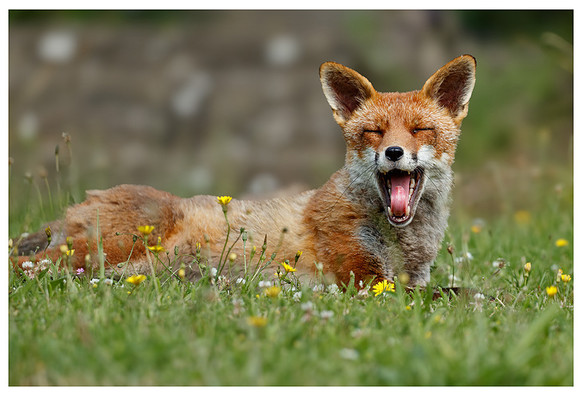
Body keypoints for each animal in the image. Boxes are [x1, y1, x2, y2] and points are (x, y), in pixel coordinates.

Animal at [13, 54, 476, 290]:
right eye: (374, 132)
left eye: (419, 129)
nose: (394, 152)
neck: (405, 242)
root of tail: (78, 204)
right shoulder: (365, 282)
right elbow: (450, 296)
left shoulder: (409, 279)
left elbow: (448, 290)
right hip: (107, 249)